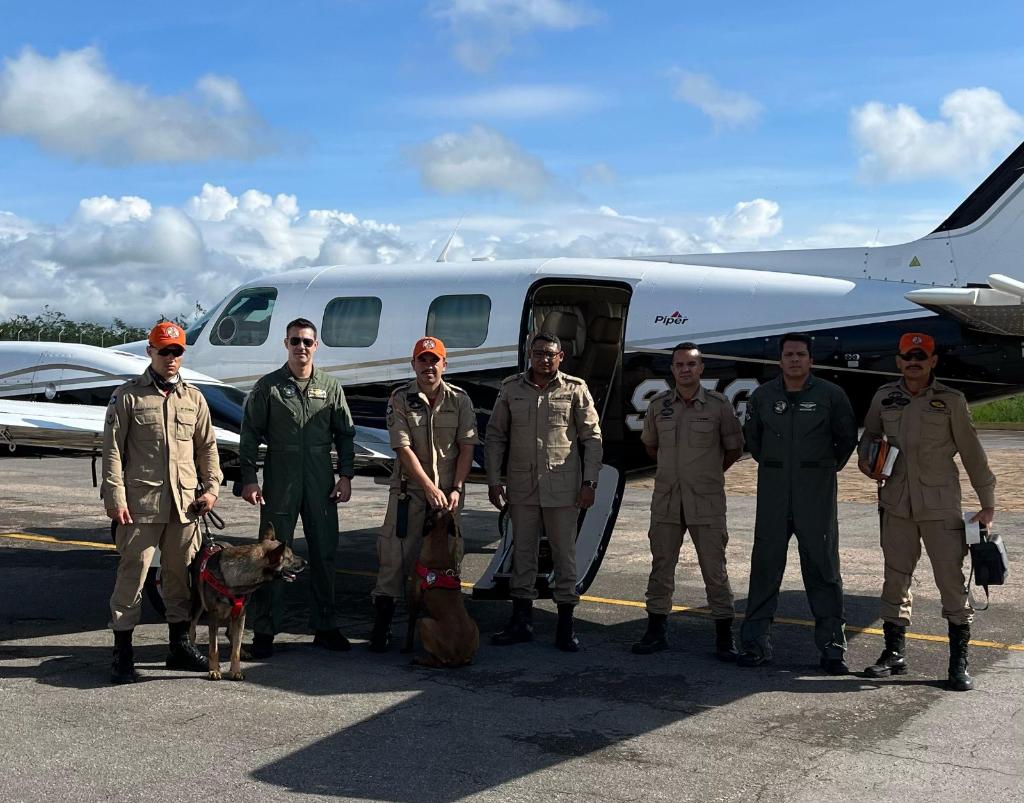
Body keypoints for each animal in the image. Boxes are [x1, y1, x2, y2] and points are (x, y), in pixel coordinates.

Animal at [190, 524, 305, 680]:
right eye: (290, 557)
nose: (306, 562)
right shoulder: (213, 616)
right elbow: (214, 648)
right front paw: (213, 670)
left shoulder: (241, 614)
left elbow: (236, 650)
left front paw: (236, 671)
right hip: (198, 605)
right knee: (192, 629)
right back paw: (192, 649)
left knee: (231, 634)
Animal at [403, 512, 479, 667]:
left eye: (432, 510)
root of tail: (458, 656)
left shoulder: (414, 599)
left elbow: (410, 627)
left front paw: (407, 648)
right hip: (474, 624)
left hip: (425, 622)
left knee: (438, 661)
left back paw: (420, 660)